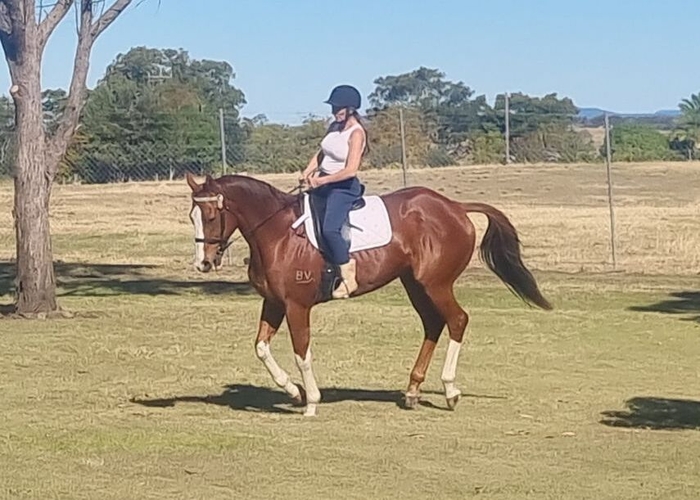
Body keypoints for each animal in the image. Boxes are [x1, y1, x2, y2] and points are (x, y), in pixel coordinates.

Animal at [185, 171, 552, 417]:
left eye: (212, 215)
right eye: (192, 216)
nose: (203, 263)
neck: (277, 234)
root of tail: (453, 206)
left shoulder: (296, 306)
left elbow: (302, 352)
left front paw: (311, 401)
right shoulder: (274, 302)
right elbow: (261, 348)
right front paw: (293, 391)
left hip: (436, 283)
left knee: (457, 320)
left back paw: (450, 389)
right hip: (415, 284)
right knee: (433, 323)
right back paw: (413, 390)